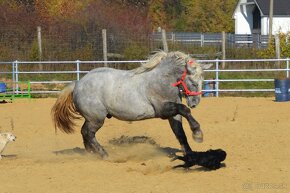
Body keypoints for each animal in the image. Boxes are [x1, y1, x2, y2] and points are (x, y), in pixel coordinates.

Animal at [51, 50, 212, 159]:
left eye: (202, 80)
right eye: (193, 82)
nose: (195, 103)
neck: (162, 80)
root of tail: (78, 84)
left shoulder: (173, 115)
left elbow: (180, 133)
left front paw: (190, 153)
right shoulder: (163, 110)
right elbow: (185, 110)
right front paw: (198, 133)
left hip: (91, 119)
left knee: (85, 133)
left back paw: (92, 153)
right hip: (96, 119)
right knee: (88, 133)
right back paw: (103, 154)